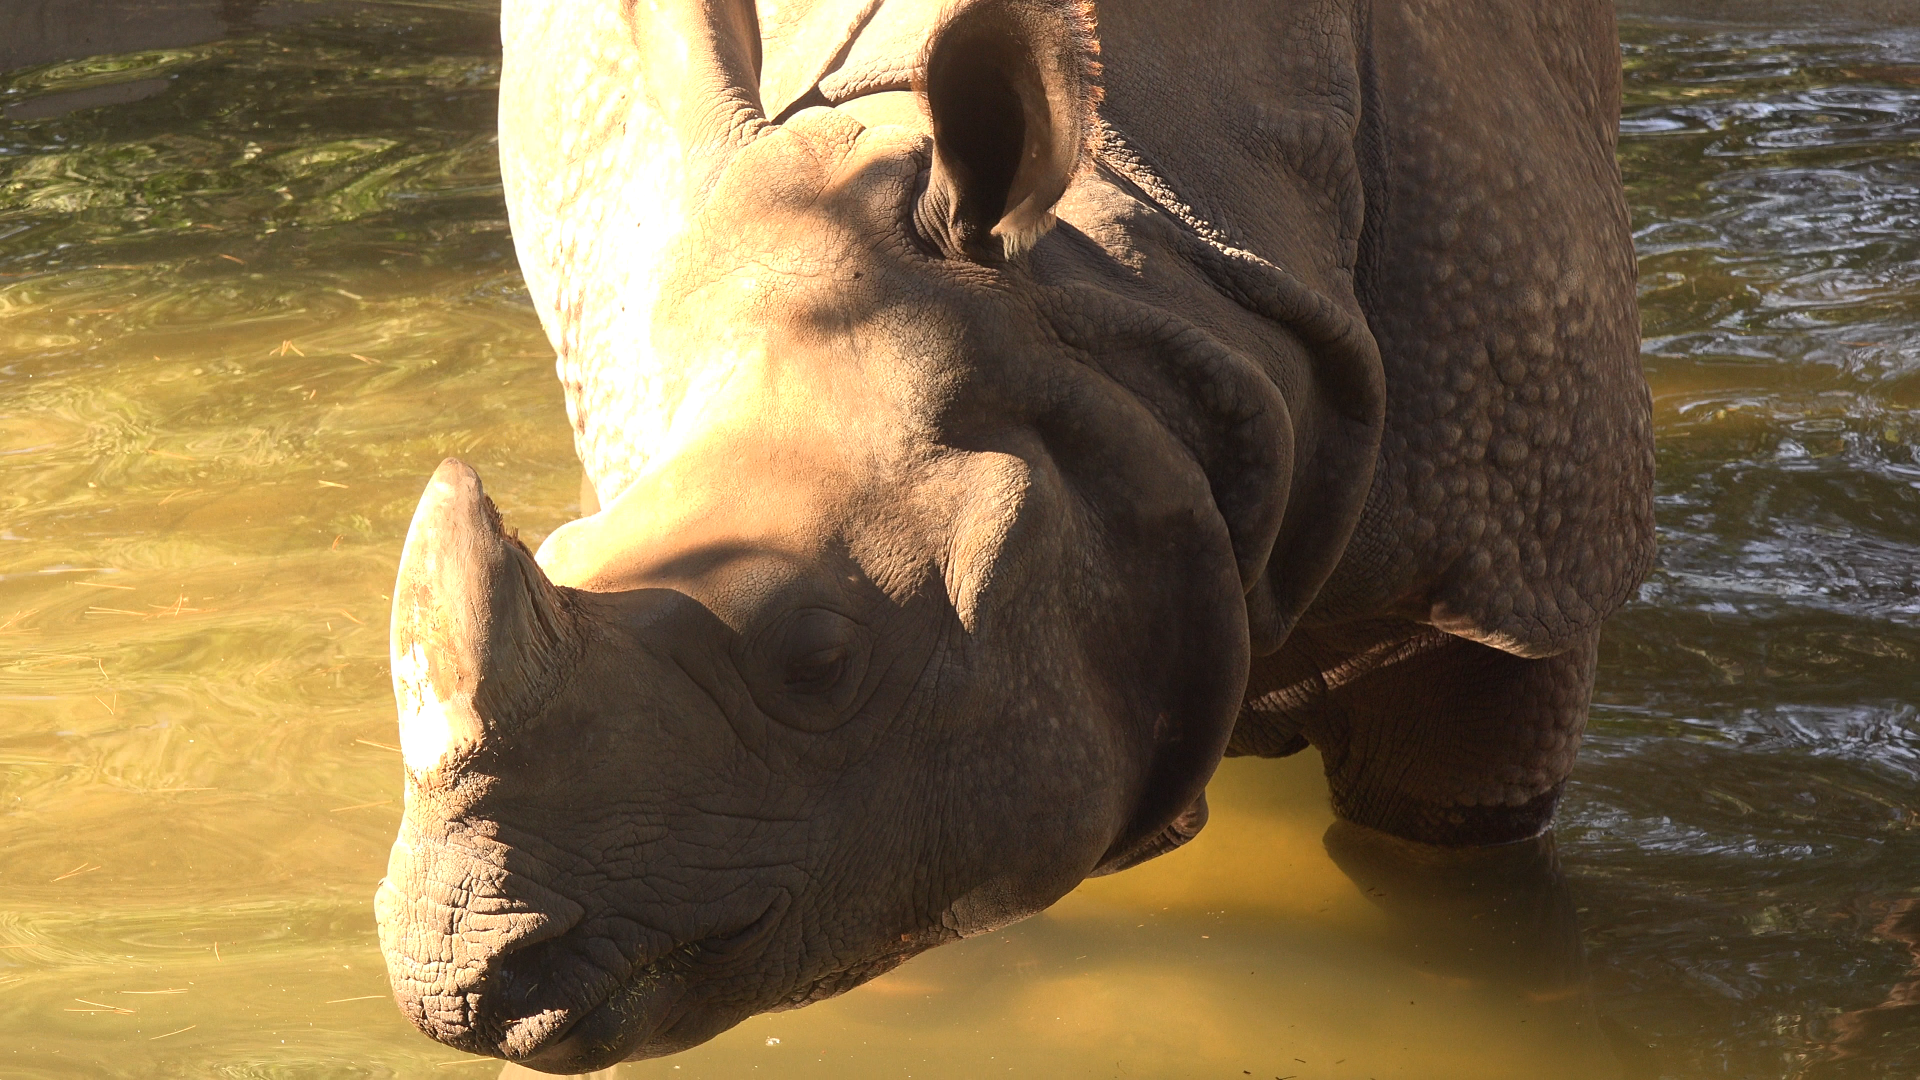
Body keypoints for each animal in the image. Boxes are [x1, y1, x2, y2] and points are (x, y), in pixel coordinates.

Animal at [374, 0, 1653, 1069]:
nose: (451, 976)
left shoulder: (1516, 575)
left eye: (819, 661)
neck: (1133, 302)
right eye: (565, 561)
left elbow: (1456, 872)